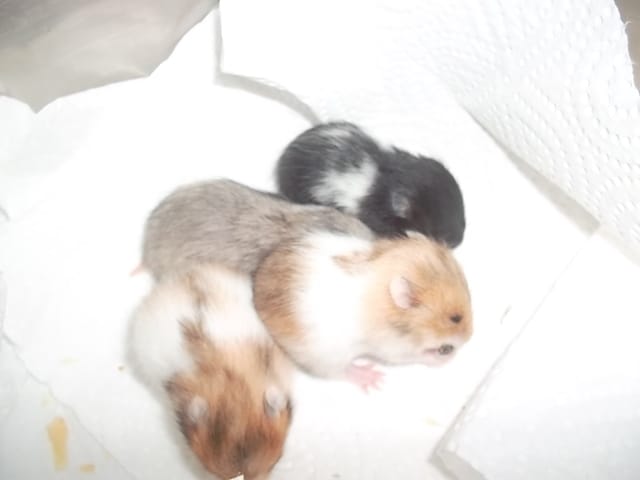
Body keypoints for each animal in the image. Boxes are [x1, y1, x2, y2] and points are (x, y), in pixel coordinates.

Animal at [252, 231, 472, 390]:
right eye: (455, 318)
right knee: (341, 372)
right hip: (325, 358)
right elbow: (420, 355)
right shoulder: (394, 349)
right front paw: (445, 358)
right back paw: (371, 377)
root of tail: (257, 291)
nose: (470, 336)